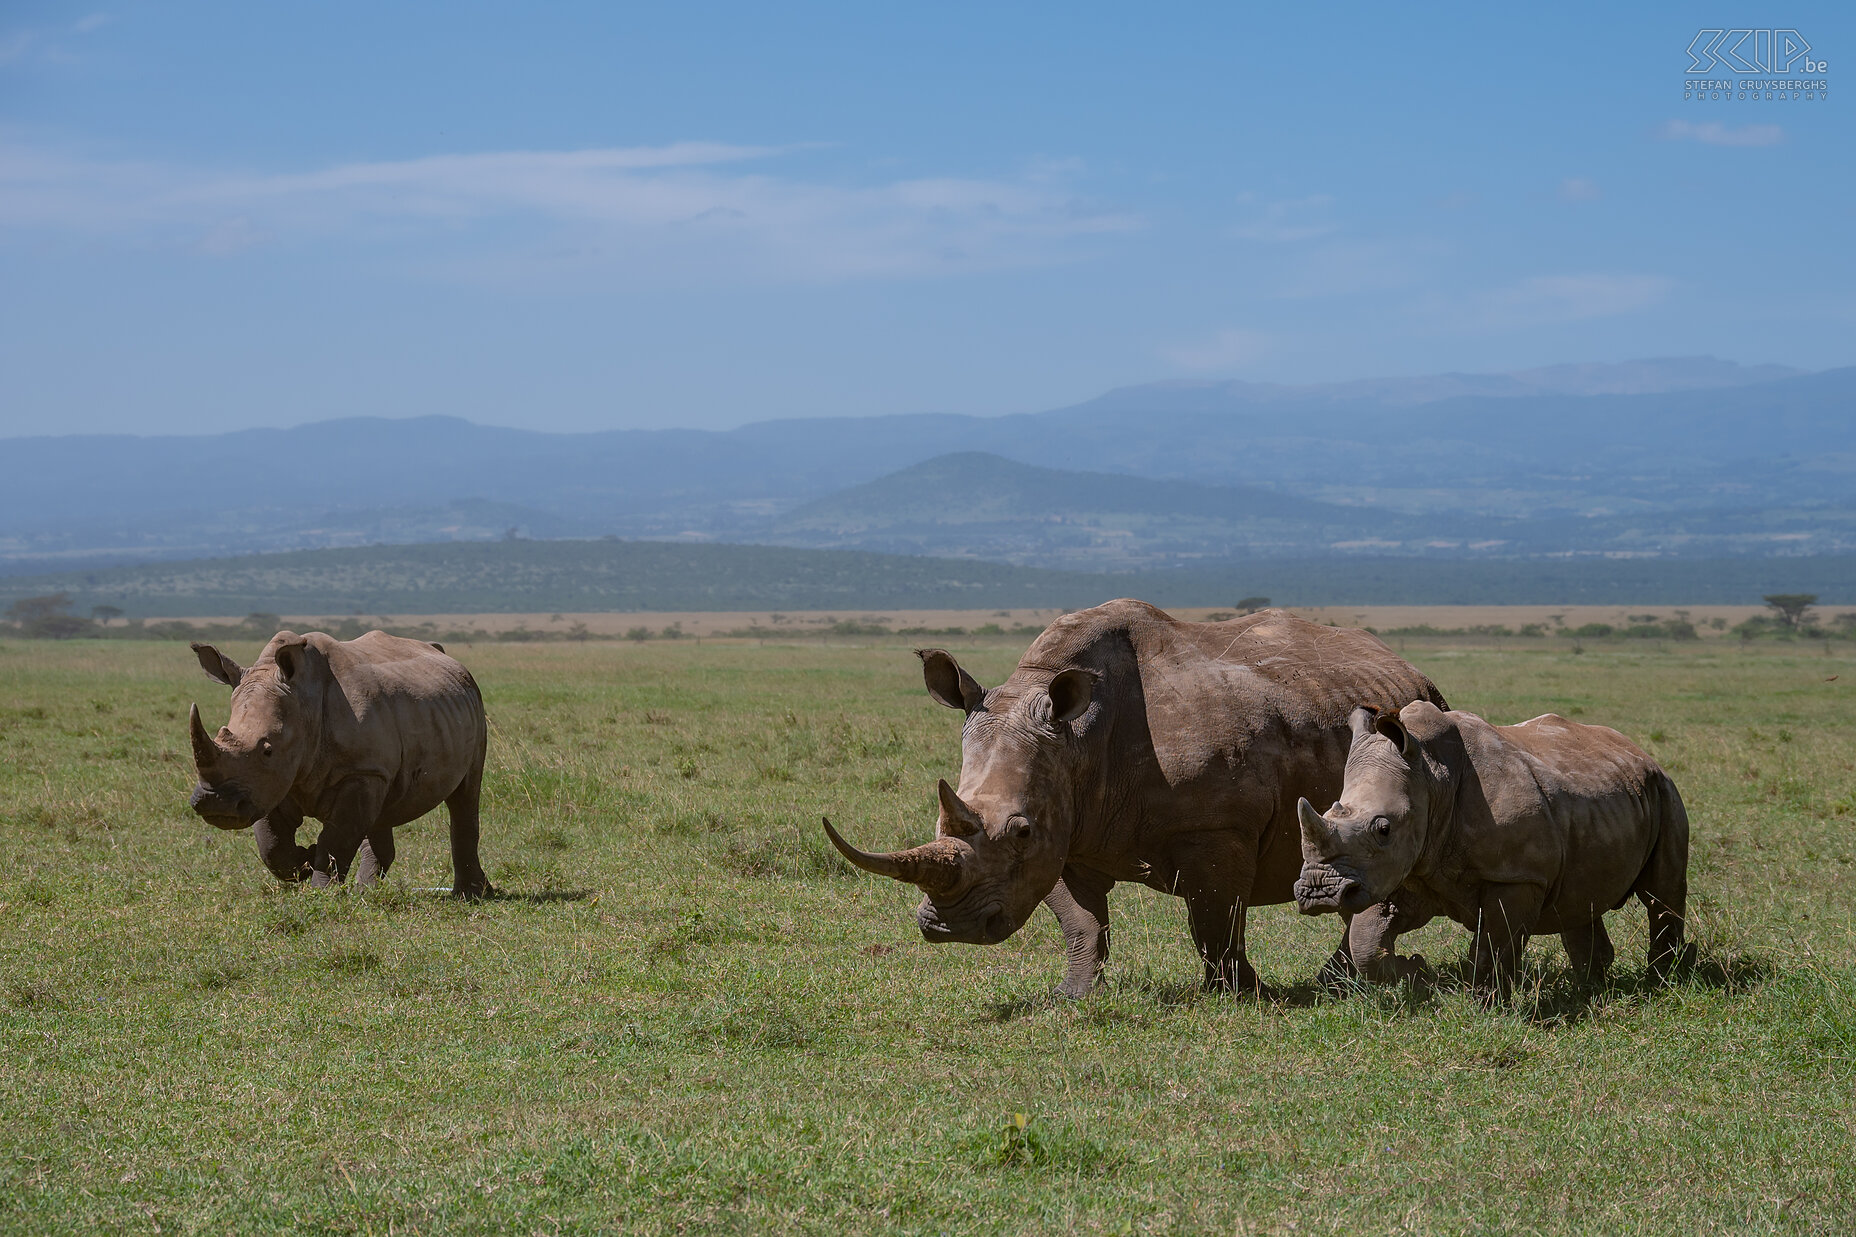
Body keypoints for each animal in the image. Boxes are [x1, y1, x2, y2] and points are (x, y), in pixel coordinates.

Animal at [186, 631, 493, 891]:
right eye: (222, 734)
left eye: (267, 750)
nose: (216, 804)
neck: (304, 702)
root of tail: (442, 653)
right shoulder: (271, 782)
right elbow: (271, 844)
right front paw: (305, 861)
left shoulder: (358, 772)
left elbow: (337, 838)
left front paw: (320, 889)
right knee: (382, 809)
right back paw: (367, 891)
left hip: (474, 706)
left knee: (465, 795)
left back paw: (471, 894)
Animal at [824, 601, 1447, 995]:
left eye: (1019, 831)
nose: (950, 928)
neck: (1078, 737)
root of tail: (1412, 671)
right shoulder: (1068, 825)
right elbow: (1081, 922)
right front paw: (1072, 995)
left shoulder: (1216, 828)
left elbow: (1214, 921)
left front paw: (1244, 996)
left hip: (1410, 736)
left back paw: (1336, 984)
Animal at [1299, 698, 1692, 988]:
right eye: (1330, 810)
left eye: (1383, 829)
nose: (1320, 892)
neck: (1431, 775)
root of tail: (1638, 751)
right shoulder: (1403, 867)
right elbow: (1365, 941)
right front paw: (1416, 971)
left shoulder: (1517, 874)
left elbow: (1496, 943)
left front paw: (1487, 1002)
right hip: (1604, 797)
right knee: (1580, 897)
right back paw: (1589, 987)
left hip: (1664, 790)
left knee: (1662, 894)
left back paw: (1661, 981)